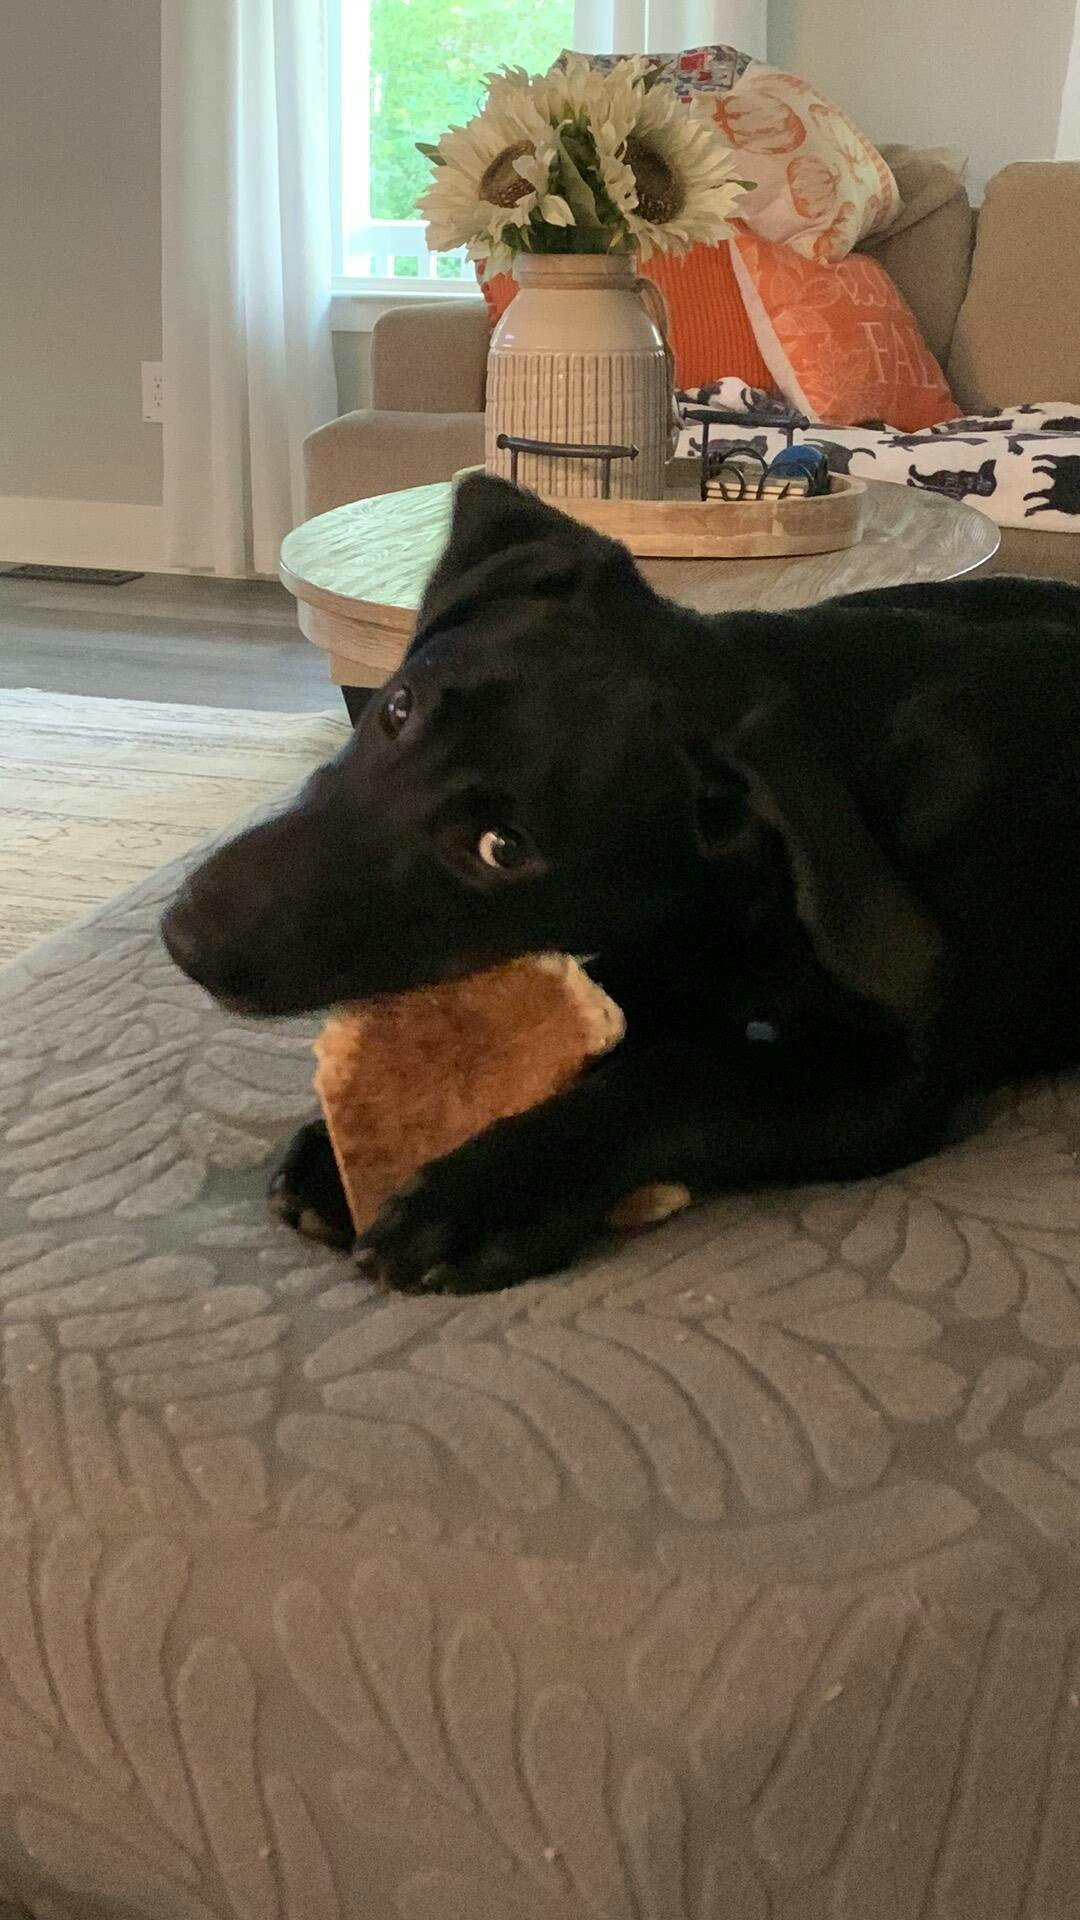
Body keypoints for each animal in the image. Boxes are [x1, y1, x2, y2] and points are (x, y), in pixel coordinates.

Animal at [162, 475, 1080, 1294]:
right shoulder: (667, 952)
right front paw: (348, 1146)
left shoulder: (898, 1083)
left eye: (503, 848)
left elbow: (687, 1078)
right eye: (397, 709)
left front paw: (485, 1195)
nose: (183, 938)